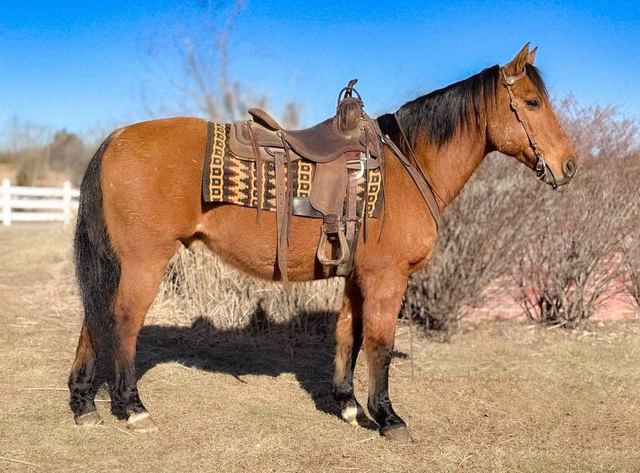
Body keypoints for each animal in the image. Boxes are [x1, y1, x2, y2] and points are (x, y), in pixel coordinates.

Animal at [68, 44, 577, 442]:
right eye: (531, 102)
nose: (569, 165)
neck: (407, 166)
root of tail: (115, 138)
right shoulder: (387, 279)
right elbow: (380, 344)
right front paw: (388, 417)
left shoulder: (357, 276)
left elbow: (348, 335)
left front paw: (348, 404)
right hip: (143, 262)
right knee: (122, 322)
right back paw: (132, 407)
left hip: (117, 264)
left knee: (95, 319)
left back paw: (84, 404)